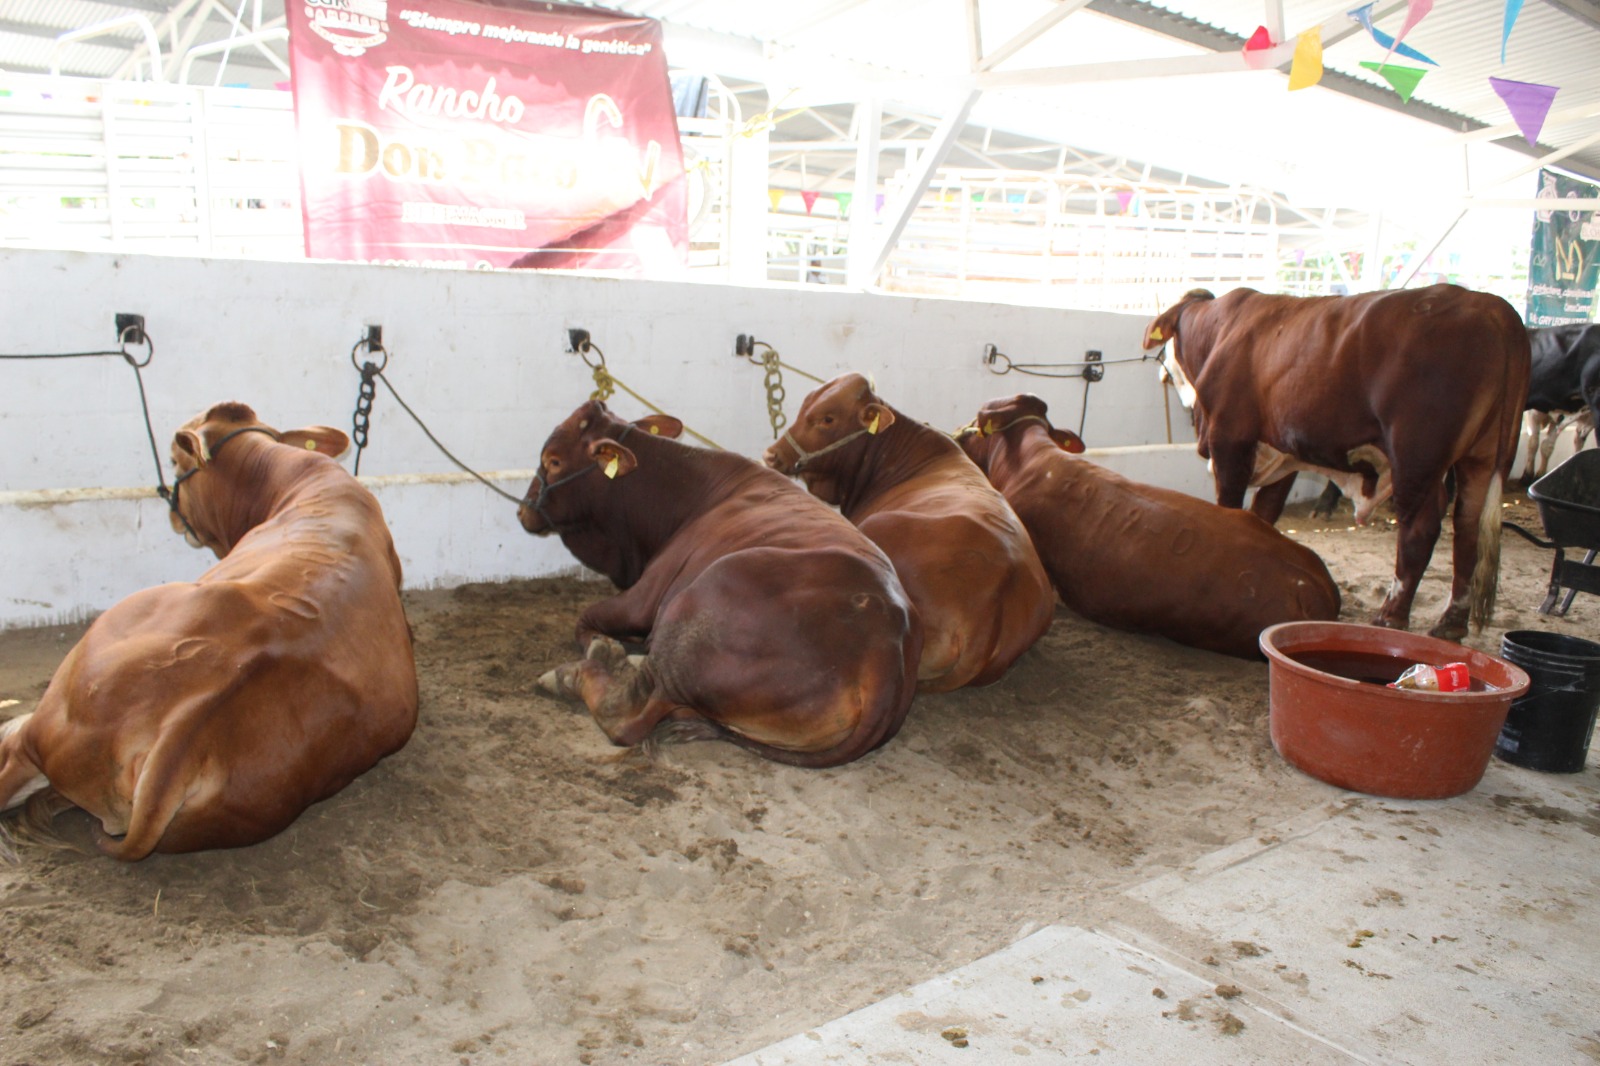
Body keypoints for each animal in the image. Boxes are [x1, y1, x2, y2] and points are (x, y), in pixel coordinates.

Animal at [0, 398, 419, 857]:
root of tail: (186, 726)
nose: (172, 512)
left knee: (15, 755)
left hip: (66, 693)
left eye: (173, 459)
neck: (297, 481)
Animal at [1145, 280, 1529, 640]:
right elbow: (1265, 514)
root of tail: (1489, 304)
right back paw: (1451, 622)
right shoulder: (1284, 456)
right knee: (1467, 528)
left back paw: (1391, 615)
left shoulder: (1229, 442)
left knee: (1420, 529)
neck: (1219, 331)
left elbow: (1230, 508)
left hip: (1416, 457)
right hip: (1481, 457)